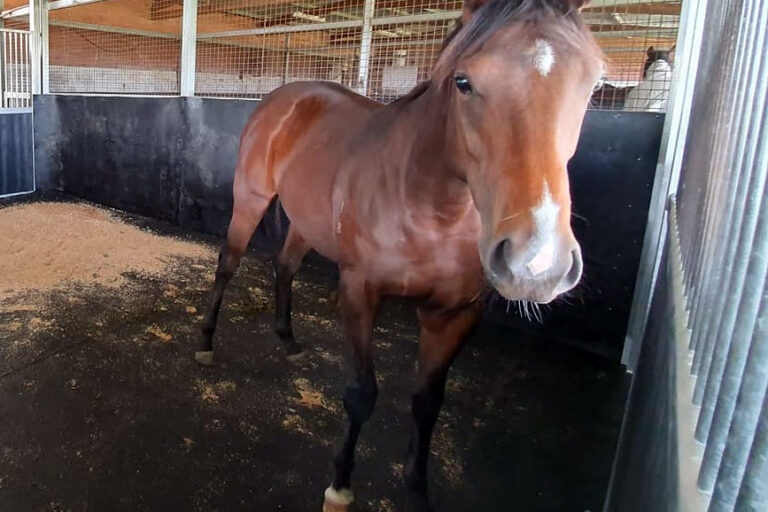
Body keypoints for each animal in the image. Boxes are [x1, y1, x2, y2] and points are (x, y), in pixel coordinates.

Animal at [197, 0, 604, 510]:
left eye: (595, 83)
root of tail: (284, 97)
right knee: (228, 265)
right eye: (464, 81)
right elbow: (361, 393)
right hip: (249, 200)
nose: (536, 261)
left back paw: (288, 341)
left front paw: (417, 490)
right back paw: (206, 343)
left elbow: (427, 404)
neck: (432, 208)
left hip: (307, 222)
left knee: (285, 266)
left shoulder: (455, 314)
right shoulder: (360, 290)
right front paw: (339, 486)